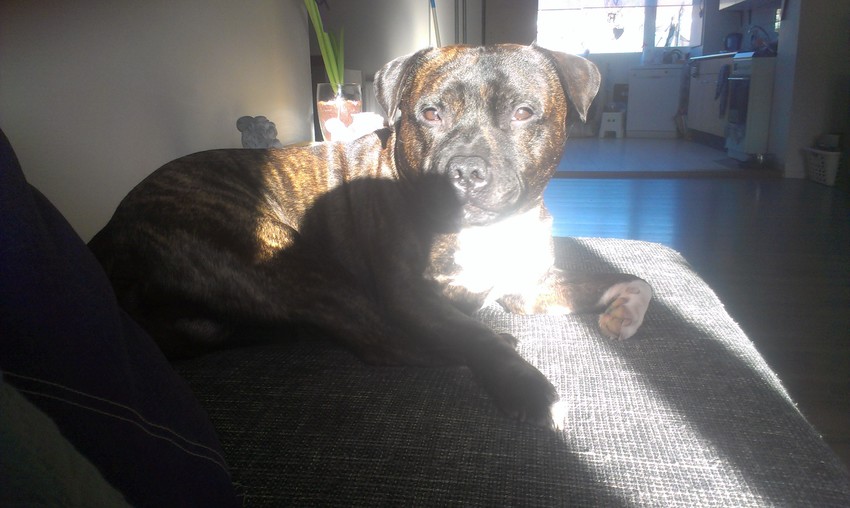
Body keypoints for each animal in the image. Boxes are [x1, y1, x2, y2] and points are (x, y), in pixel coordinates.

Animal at [89, 44, 652, 427]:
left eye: (523, 113)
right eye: (430, 113)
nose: (466, 171)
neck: (489, 230)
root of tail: (109, 230)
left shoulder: (528, 287)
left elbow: (629, 280)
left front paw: (622, 312)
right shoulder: (412, 295)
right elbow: (475, 334)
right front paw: (528, 387)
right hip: (294, 262)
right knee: (382, 345)